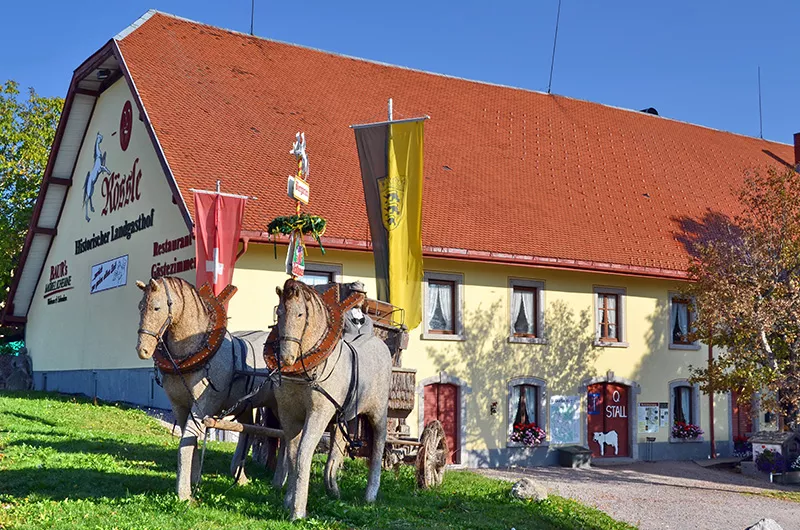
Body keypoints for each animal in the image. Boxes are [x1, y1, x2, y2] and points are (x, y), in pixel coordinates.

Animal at [136, 276, 286, 500]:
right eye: (140, 307)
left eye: (156, 307)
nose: (142, 350)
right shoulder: (180, 406)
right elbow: (190, 441)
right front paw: (194, 480)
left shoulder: (202, 407)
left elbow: (186, 443)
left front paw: (184, 493)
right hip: (244, 405)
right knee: (247, 431)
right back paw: (240, 477)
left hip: (280, 406)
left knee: (287, 438)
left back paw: (280, 481)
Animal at [272, 278, 390, 516]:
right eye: (279, 312)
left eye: (300, 314)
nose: (286, 357)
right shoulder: (288, 414)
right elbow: (292, 455)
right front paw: (289, 500)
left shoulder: (319, 413)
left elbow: (303, 453)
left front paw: (298, 511)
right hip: (343, 416)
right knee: (338, 447)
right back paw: (333, 488)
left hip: (378, 413)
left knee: (378, 446)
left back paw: (370, 494)